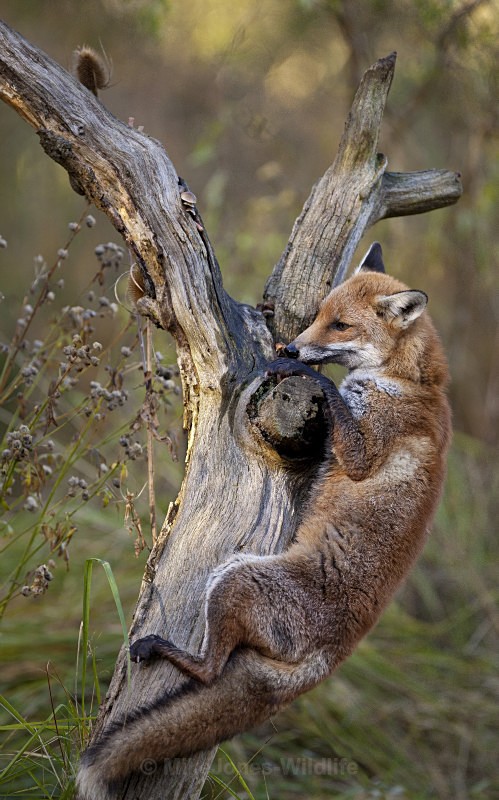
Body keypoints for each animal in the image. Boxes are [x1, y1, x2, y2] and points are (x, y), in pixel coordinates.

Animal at [77, 242, 451, 799]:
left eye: (340, 325)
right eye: (319, 315)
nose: (292, 348)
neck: (409, 382)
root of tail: (333, 654)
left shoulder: (364, 454)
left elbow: (335, 400)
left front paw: (312, 377)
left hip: (237, 578)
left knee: (209, 672)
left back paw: (161, 648)